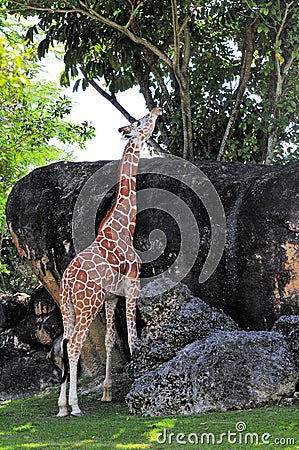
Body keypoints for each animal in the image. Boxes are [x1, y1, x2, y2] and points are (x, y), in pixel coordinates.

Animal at [56, 106, 162, 418]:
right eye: (141, 121)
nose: (156, 109)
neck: (124, 225)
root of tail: (68, 284)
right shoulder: (133, 285)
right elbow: (132, 337)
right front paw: (137, 385)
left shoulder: (112, 296)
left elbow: (110, 340)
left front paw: (107, 392)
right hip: (86, 305)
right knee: (75, 345)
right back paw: (75, 406)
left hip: (67, 307)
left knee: (64, 345)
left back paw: (61, 406)